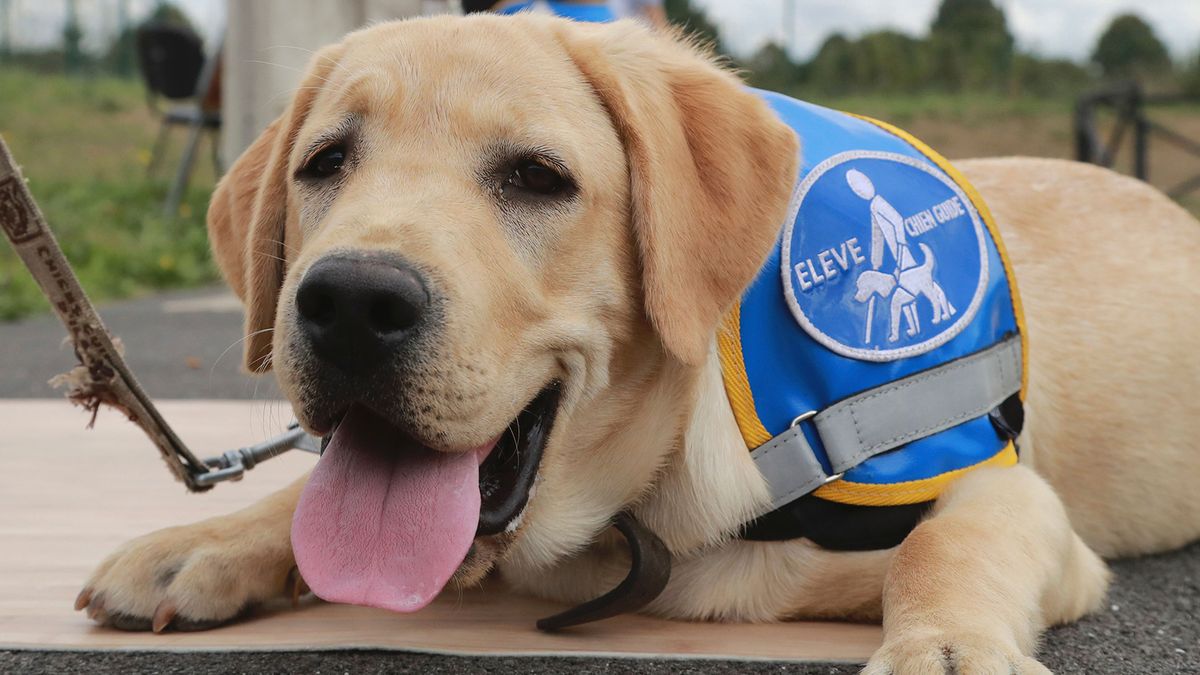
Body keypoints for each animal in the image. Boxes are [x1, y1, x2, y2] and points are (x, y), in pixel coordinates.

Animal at [77, 13, 1200, 667]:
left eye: (537, 176)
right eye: (325, 163)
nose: (350, 301)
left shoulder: (1004, 487)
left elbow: (945, 544)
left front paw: (945, 647)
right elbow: (310, 494)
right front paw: (204, 542)